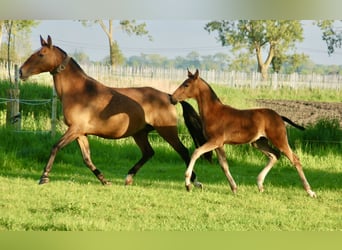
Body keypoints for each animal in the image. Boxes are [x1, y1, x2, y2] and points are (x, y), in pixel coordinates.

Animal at [20, 36, 207, 187]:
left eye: (41, 54)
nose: (21, 71)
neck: (78, 92)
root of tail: (168, 96)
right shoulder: (80, 133)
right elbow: (87, 159)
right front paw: (104, 180)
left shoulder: (75, 129)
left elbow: (55, 147)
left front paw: (44, 177)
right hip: (139, 133)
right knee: (148, 153)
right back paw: (128, 178)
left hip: (167, 131)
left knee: (183, 151)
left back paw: (195, 182)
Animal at [172, 69, 316, 197]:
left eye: (186, 84)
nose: (173, 98)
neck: (214, 112)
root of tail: (279, 117)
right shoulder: (219, 144)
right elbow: (224, 165)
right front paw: (234, 188)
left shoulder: (215, 141)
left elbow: (196, 153)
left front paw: (188, 184)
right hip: (258, 142)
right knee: (274, 155)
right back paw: (260, 184)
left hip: (279, 139)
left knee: (294, 159)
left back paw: (310, 191)